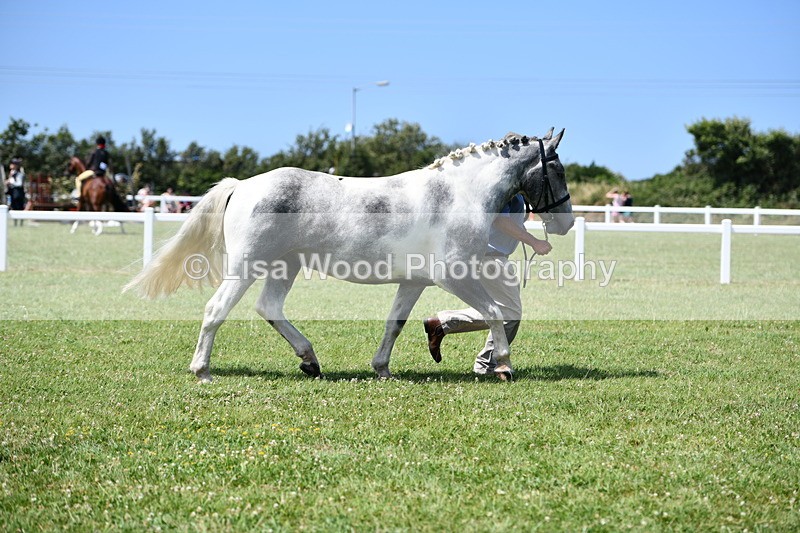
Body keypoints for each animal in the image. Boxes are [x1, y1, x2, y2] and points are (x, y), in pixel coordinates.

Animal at [124, 128, 574, 383]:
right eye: (558, 169)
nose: (567, 223)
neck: (455, 195)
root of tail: (243, 185)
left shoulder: (415, 280)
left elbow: (395, 324)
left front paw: (382, 369)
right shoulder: (455, 275)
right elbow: (496, 314)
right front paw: (503, 364)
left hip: (284, 266)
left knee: (268, 307)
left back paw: (310, 361)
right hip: (247, 266)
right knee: (216, 309)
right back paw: (202, 371)